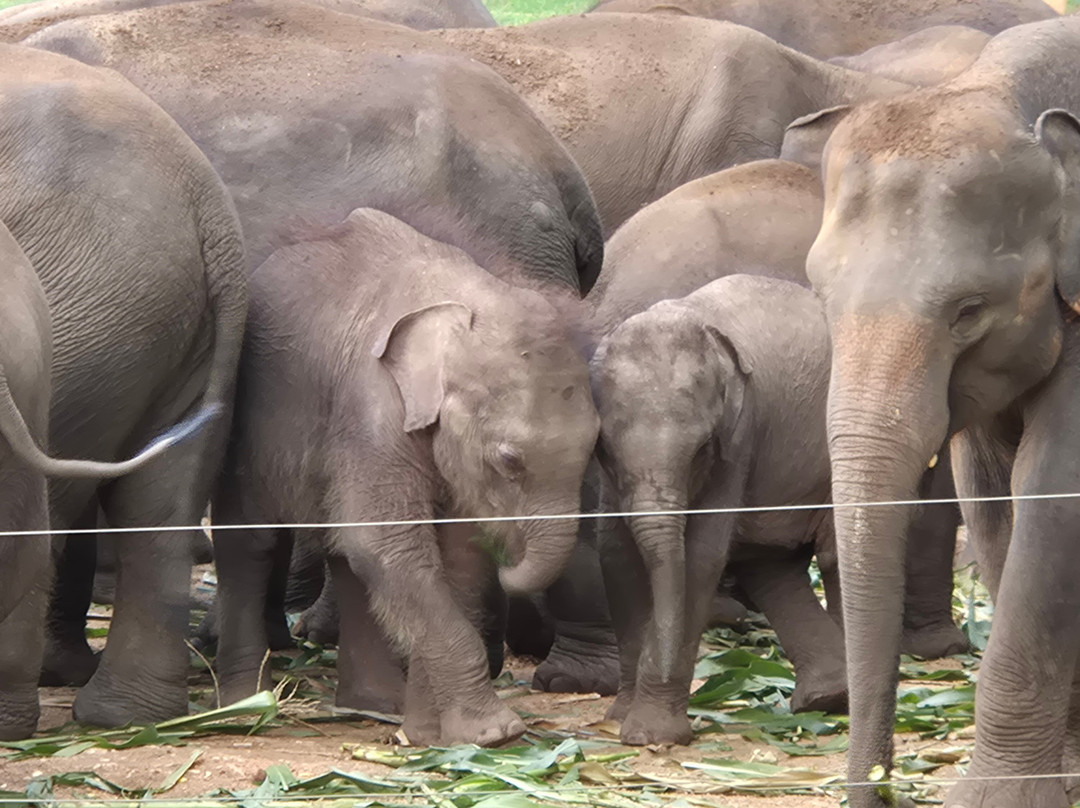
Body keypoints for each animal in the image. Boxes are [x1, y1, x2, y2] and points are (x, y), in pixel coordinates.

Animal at [211, 207, 599, 748]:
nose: (512, 557)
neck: (465, 305)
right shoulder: (372, 407)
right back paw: (245, 707)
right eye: (508, 460)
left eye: (595, 448)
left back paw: (374, 707)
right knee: (252, 543)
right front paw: (494, 735)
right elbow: (390, 544)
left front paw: (431, 736)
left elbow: (453, 558)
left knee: (347, 558)